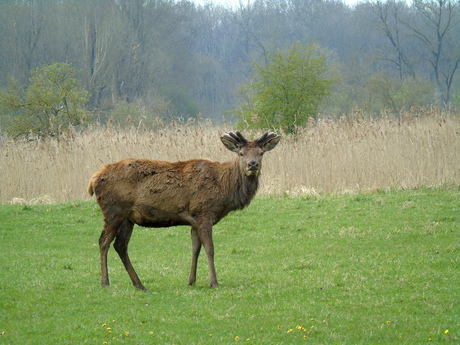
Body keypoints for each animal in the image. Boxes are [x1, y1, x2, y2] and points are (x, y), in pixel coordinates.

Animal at [86, 130, 280, 288]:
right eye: (241, 153)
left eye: (261, 153)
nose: (252, 165)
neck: (224, 188)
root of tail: (93, 179)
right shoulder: (204, 212)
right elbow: (210, 248)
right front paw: (213, 282)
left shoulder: (194, 220)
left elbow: (195, 249)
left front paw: (191, 281)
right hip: (114, 210)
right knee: (104, 241)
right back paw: (105, 282)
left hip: (128, 217)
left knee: (120, 245)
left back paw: (139, 284)